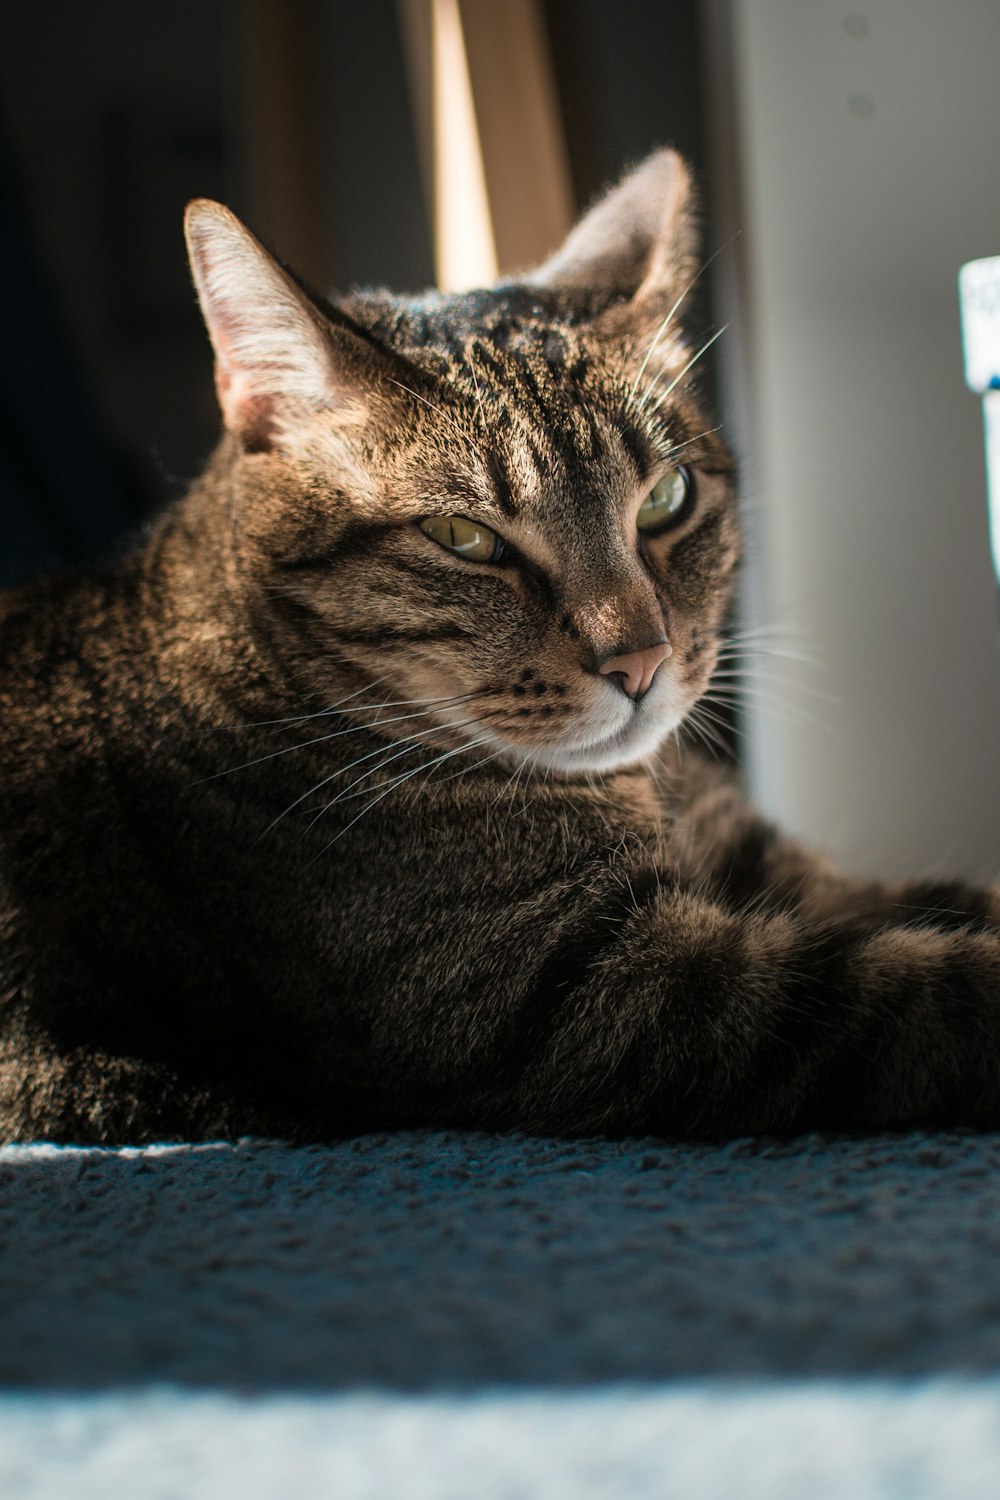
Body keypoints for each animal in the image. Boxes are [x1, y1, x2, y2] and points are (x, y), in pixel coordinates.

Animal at [1, 146, 1000, 1140]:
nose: (641, 660)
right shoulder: (593, 997)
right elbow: (927, 995)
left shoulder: (759, 865)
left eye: (667, 499)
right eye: (466, 539)